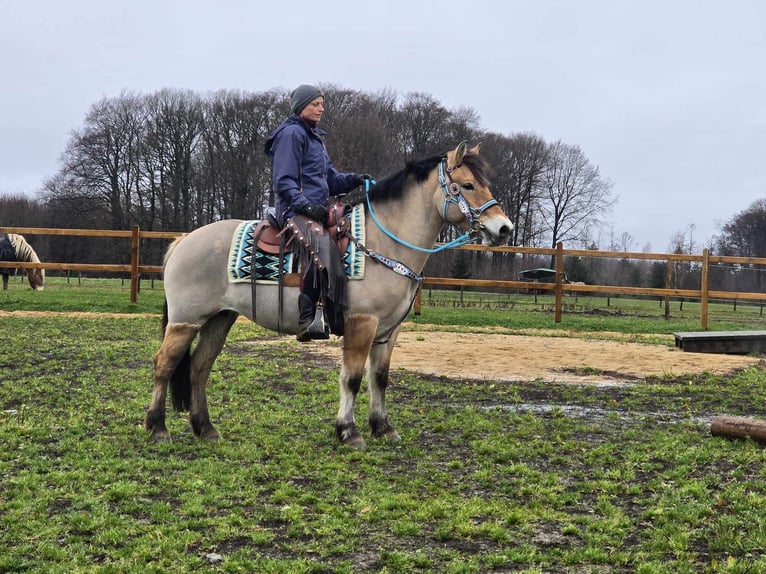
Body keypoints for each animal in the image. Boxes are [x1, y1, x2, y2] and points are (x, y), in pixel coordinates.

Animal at [146, 141, 512, 450]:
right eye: (468, 185)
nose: (504, 228)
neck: (382, 244)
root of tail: (183, 240)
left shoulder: (388, 331)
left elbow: (379, 378)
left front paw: (383, 427)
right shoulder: (361, 324)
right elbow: (351, 378)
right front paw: (348, 432)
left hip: (219, 319)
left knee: (199, 367)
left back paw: (204, 428)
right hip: (185, 322)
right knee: (164, 365)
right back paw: (157, 428)